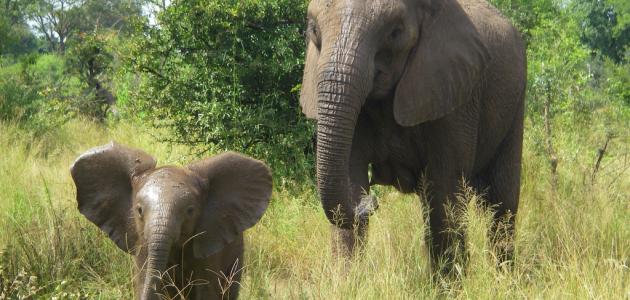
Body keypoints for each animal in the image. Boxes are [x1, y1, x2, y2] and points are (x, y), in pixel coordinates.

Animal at [302, 0, 528, 272]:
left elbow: (445, 190)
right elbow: (350, 177)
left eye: (395, 33)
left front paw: (451, 282)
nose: (371, 200)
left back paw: (504, 275)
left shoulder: (456, 96)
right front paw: (348, 279)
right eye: (314, 30)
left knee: (501, 202)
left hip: (516, 102)